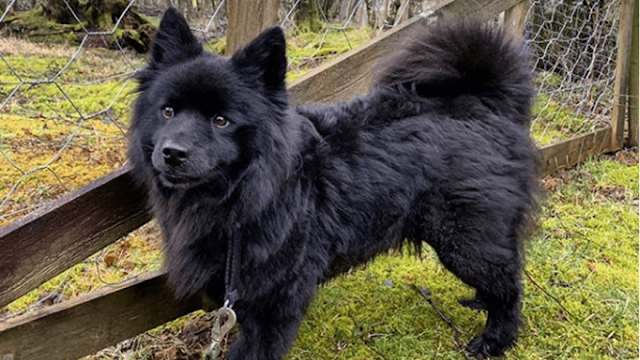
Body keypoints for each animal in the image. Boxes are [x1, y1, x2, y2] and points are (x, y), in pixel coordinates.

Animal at [127, 8, 536, 360]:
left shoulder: (274, 303)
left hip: (464, 239)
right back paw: (481, 301)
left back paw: (494, 340)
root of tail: (481, 100)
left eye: (221, 120)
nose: (172, 153)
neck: (247, 195)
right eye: (168, 111)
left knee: (510, 287)